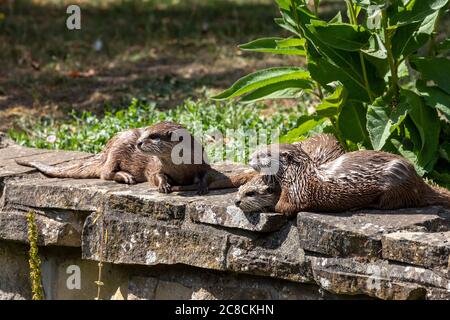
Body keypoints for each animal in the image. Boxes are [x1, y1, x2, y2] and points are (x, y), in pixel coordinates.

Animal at [246, 142, 450, 218]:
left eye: (263, 154)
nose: (249, 158)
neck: (299, 175)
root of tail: (419, 182)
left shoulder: (296, 194)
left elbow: (282, 207)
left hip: (395, 184)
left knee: (390, 204)